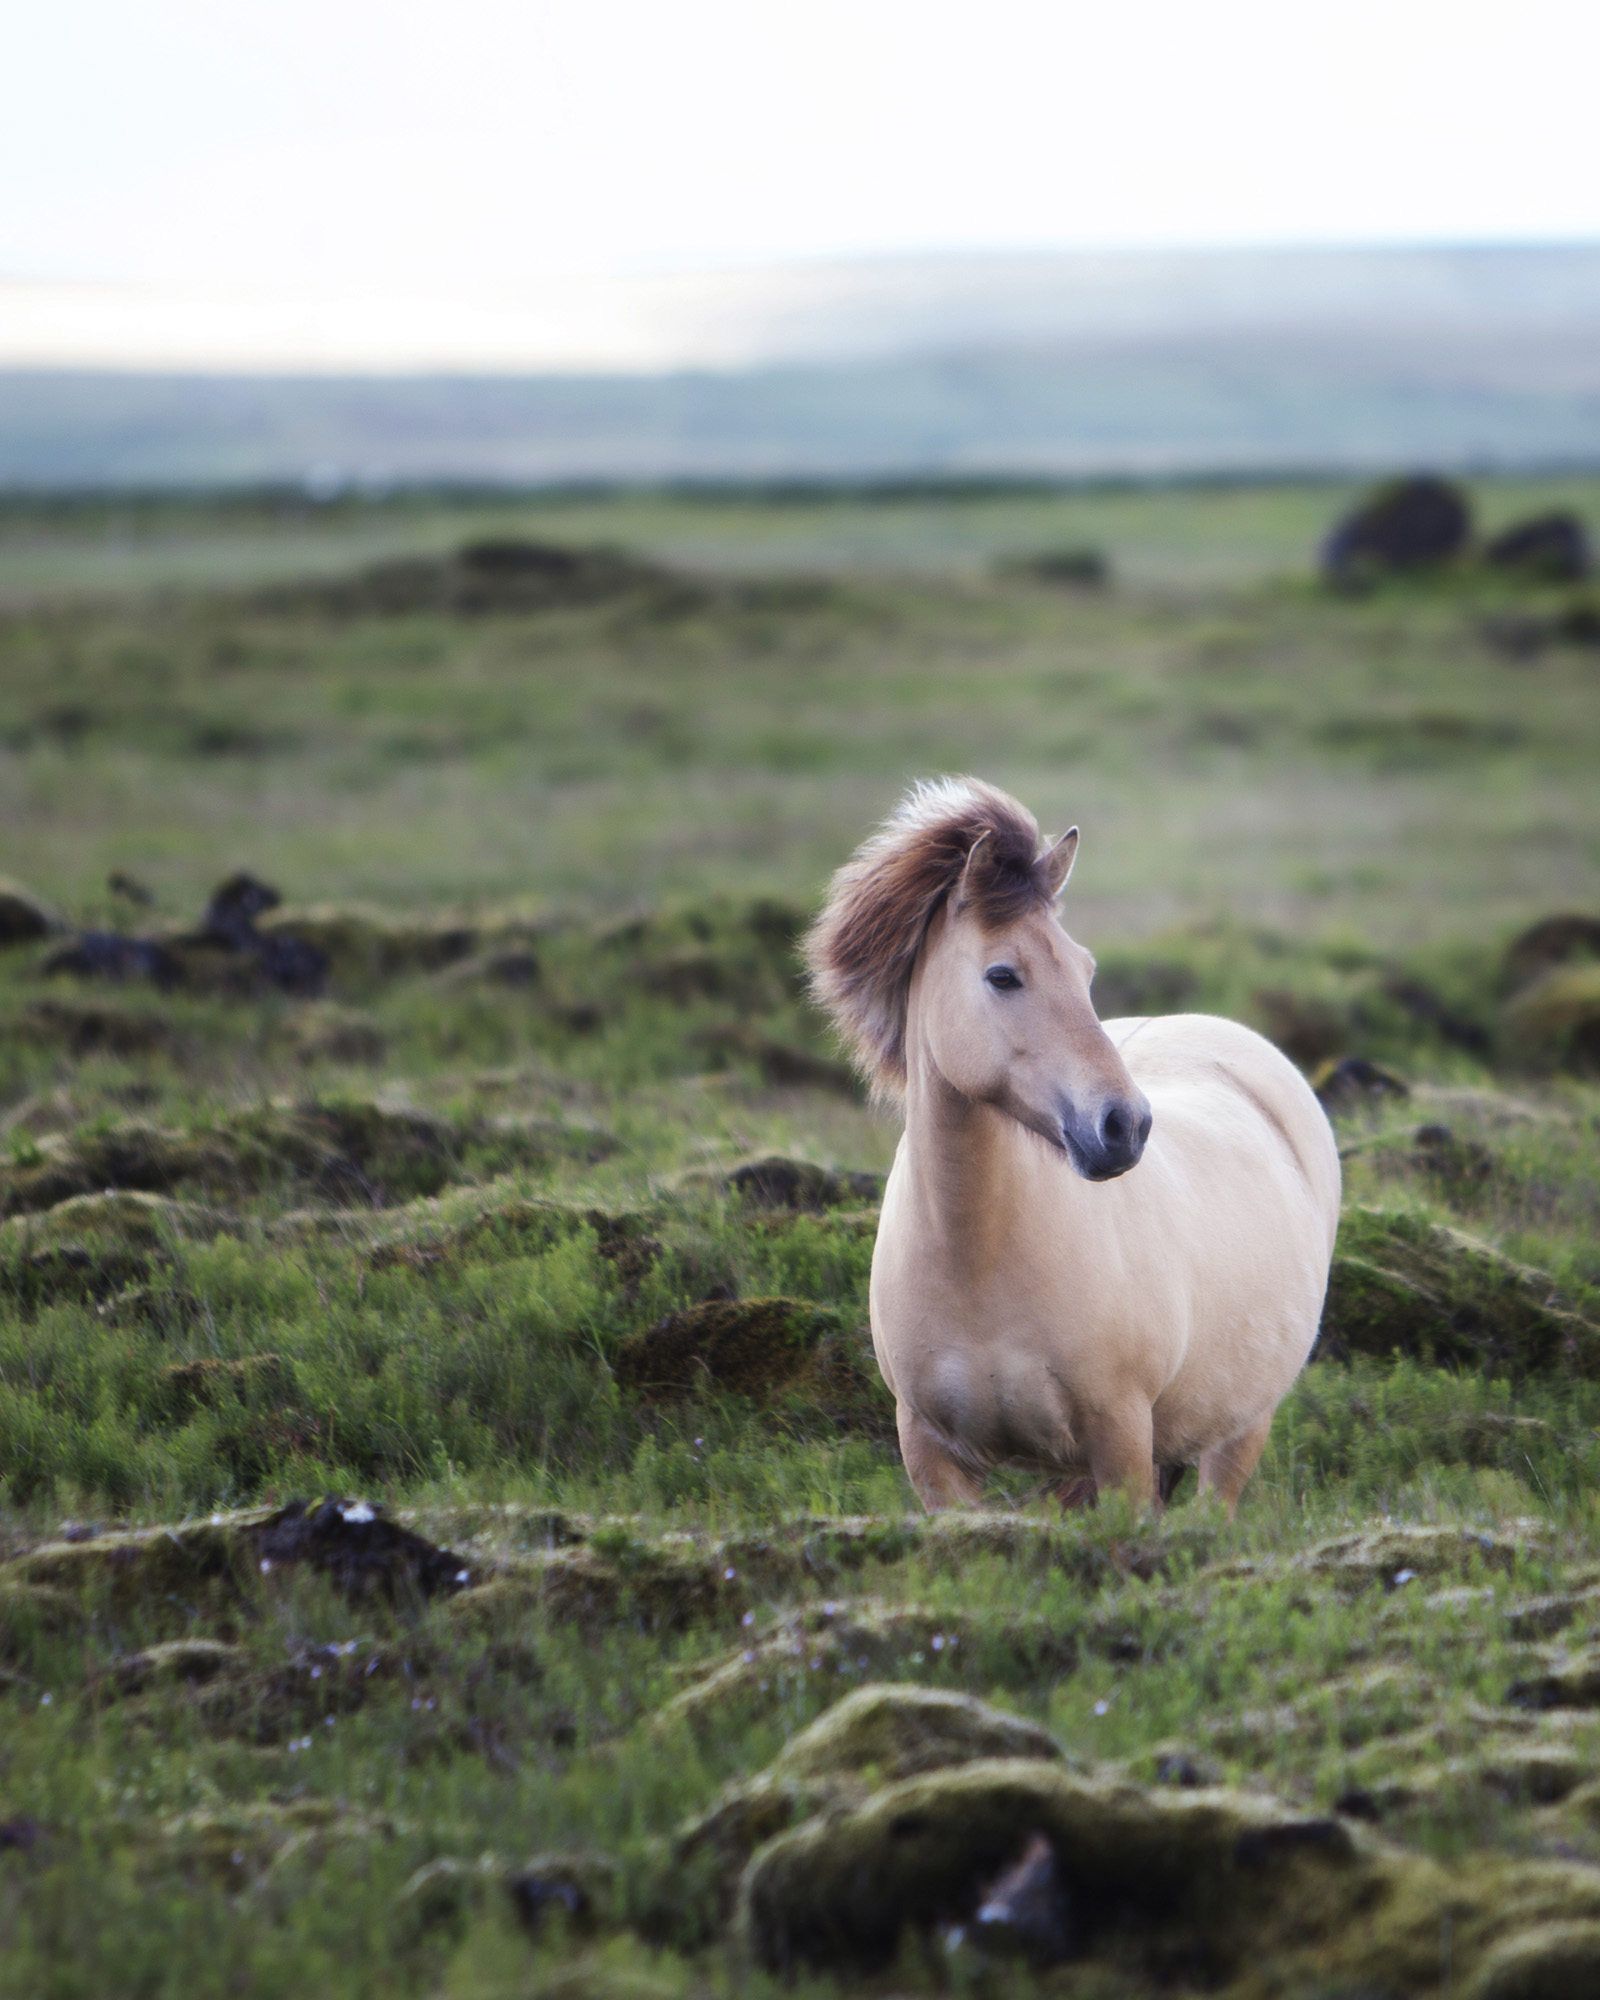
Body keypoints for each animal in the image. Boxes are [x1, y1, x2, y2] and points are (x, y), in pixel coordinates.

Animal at [805, 777, 1341, 1516]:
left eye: (1085, 970)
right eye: (1003, 975)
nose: (1126, 1126)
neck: (976, 1260)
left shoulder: (1120, 1440)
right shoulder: (933, 1457)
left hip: (1239, 1430)